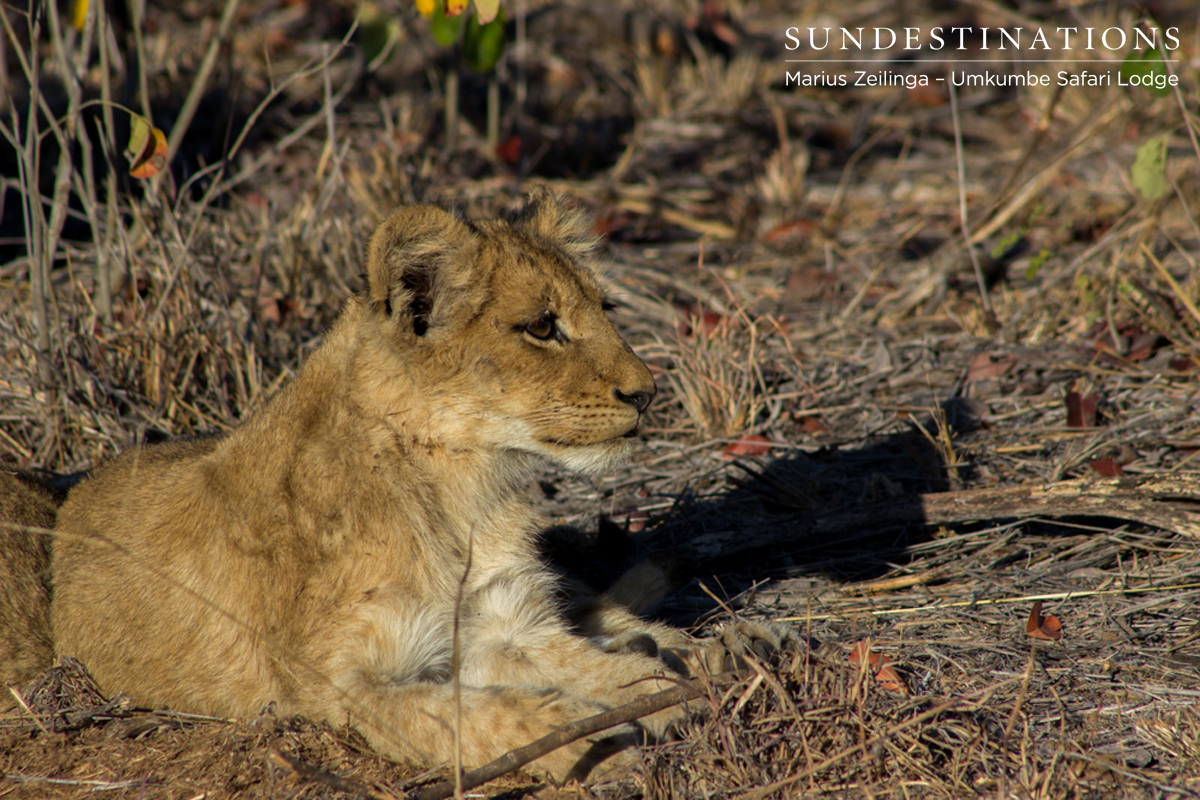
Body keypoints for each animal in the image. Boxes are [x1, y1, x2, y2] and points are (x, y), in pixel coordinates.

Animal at [45, 189, 792, 780]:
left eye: (605, 308)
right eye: (543, 327)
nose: (647, 393)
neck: (458, 486)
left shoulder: (504, 625)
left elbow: (602, 668)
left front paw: (681, 683)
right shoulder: (338, 686)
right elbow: (460, 715)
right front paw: (594, 738)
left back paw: (730, 646)